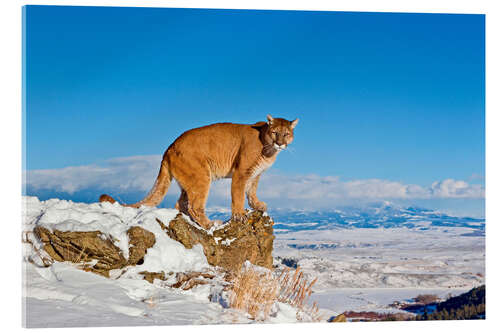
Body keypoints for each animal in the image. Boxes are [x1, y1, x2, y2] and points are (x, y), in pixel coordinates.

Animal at [99, 114, 298, 228]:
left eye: (286, 134)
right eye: (275, 132)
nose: (280, 143)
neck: (268, 148)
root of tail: (169, 147)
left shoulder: (255, 174)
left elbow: (251, 191)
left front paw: (258, 205)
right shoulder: (241, 172)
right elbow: (239, 195)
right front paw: (240, 215)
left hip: (189, 180)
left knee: (181, 203)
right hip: (201, 176)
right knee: (194, 206)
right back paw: (210, 224)